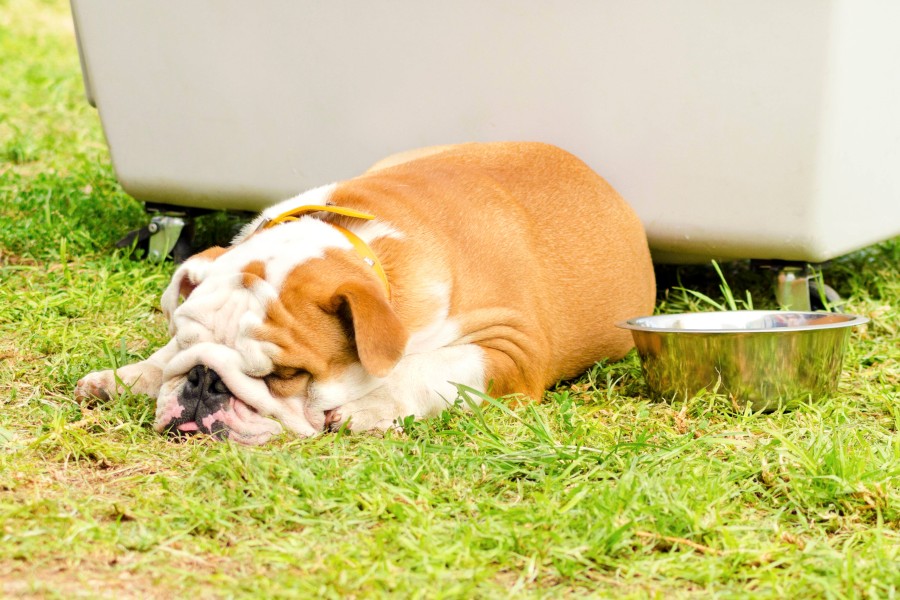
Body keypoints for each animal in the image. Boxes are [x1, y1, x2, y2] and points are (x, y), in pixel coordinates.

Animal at [75, 143, 652, 446]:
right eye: (183, 342)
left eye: (287, 375)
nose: (203, 382)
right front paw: (129, 377)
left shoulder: (512, 347)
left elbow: (424, 369)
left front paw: (370, 406)